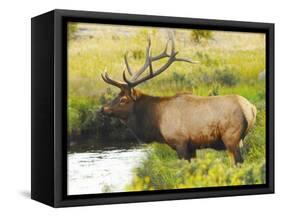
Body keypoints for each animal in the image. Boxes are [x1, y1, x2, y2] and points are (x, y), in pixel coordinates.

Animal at [100, 36, 256, 164]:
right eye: (117, 96)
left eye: (123, 99)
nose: (102, 109)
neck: (156, 121)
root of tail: (251, 109)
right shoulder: (192, 147)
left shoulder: (180, 143)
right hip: (240, 140)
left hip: (231, 138)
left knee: (238, 162)